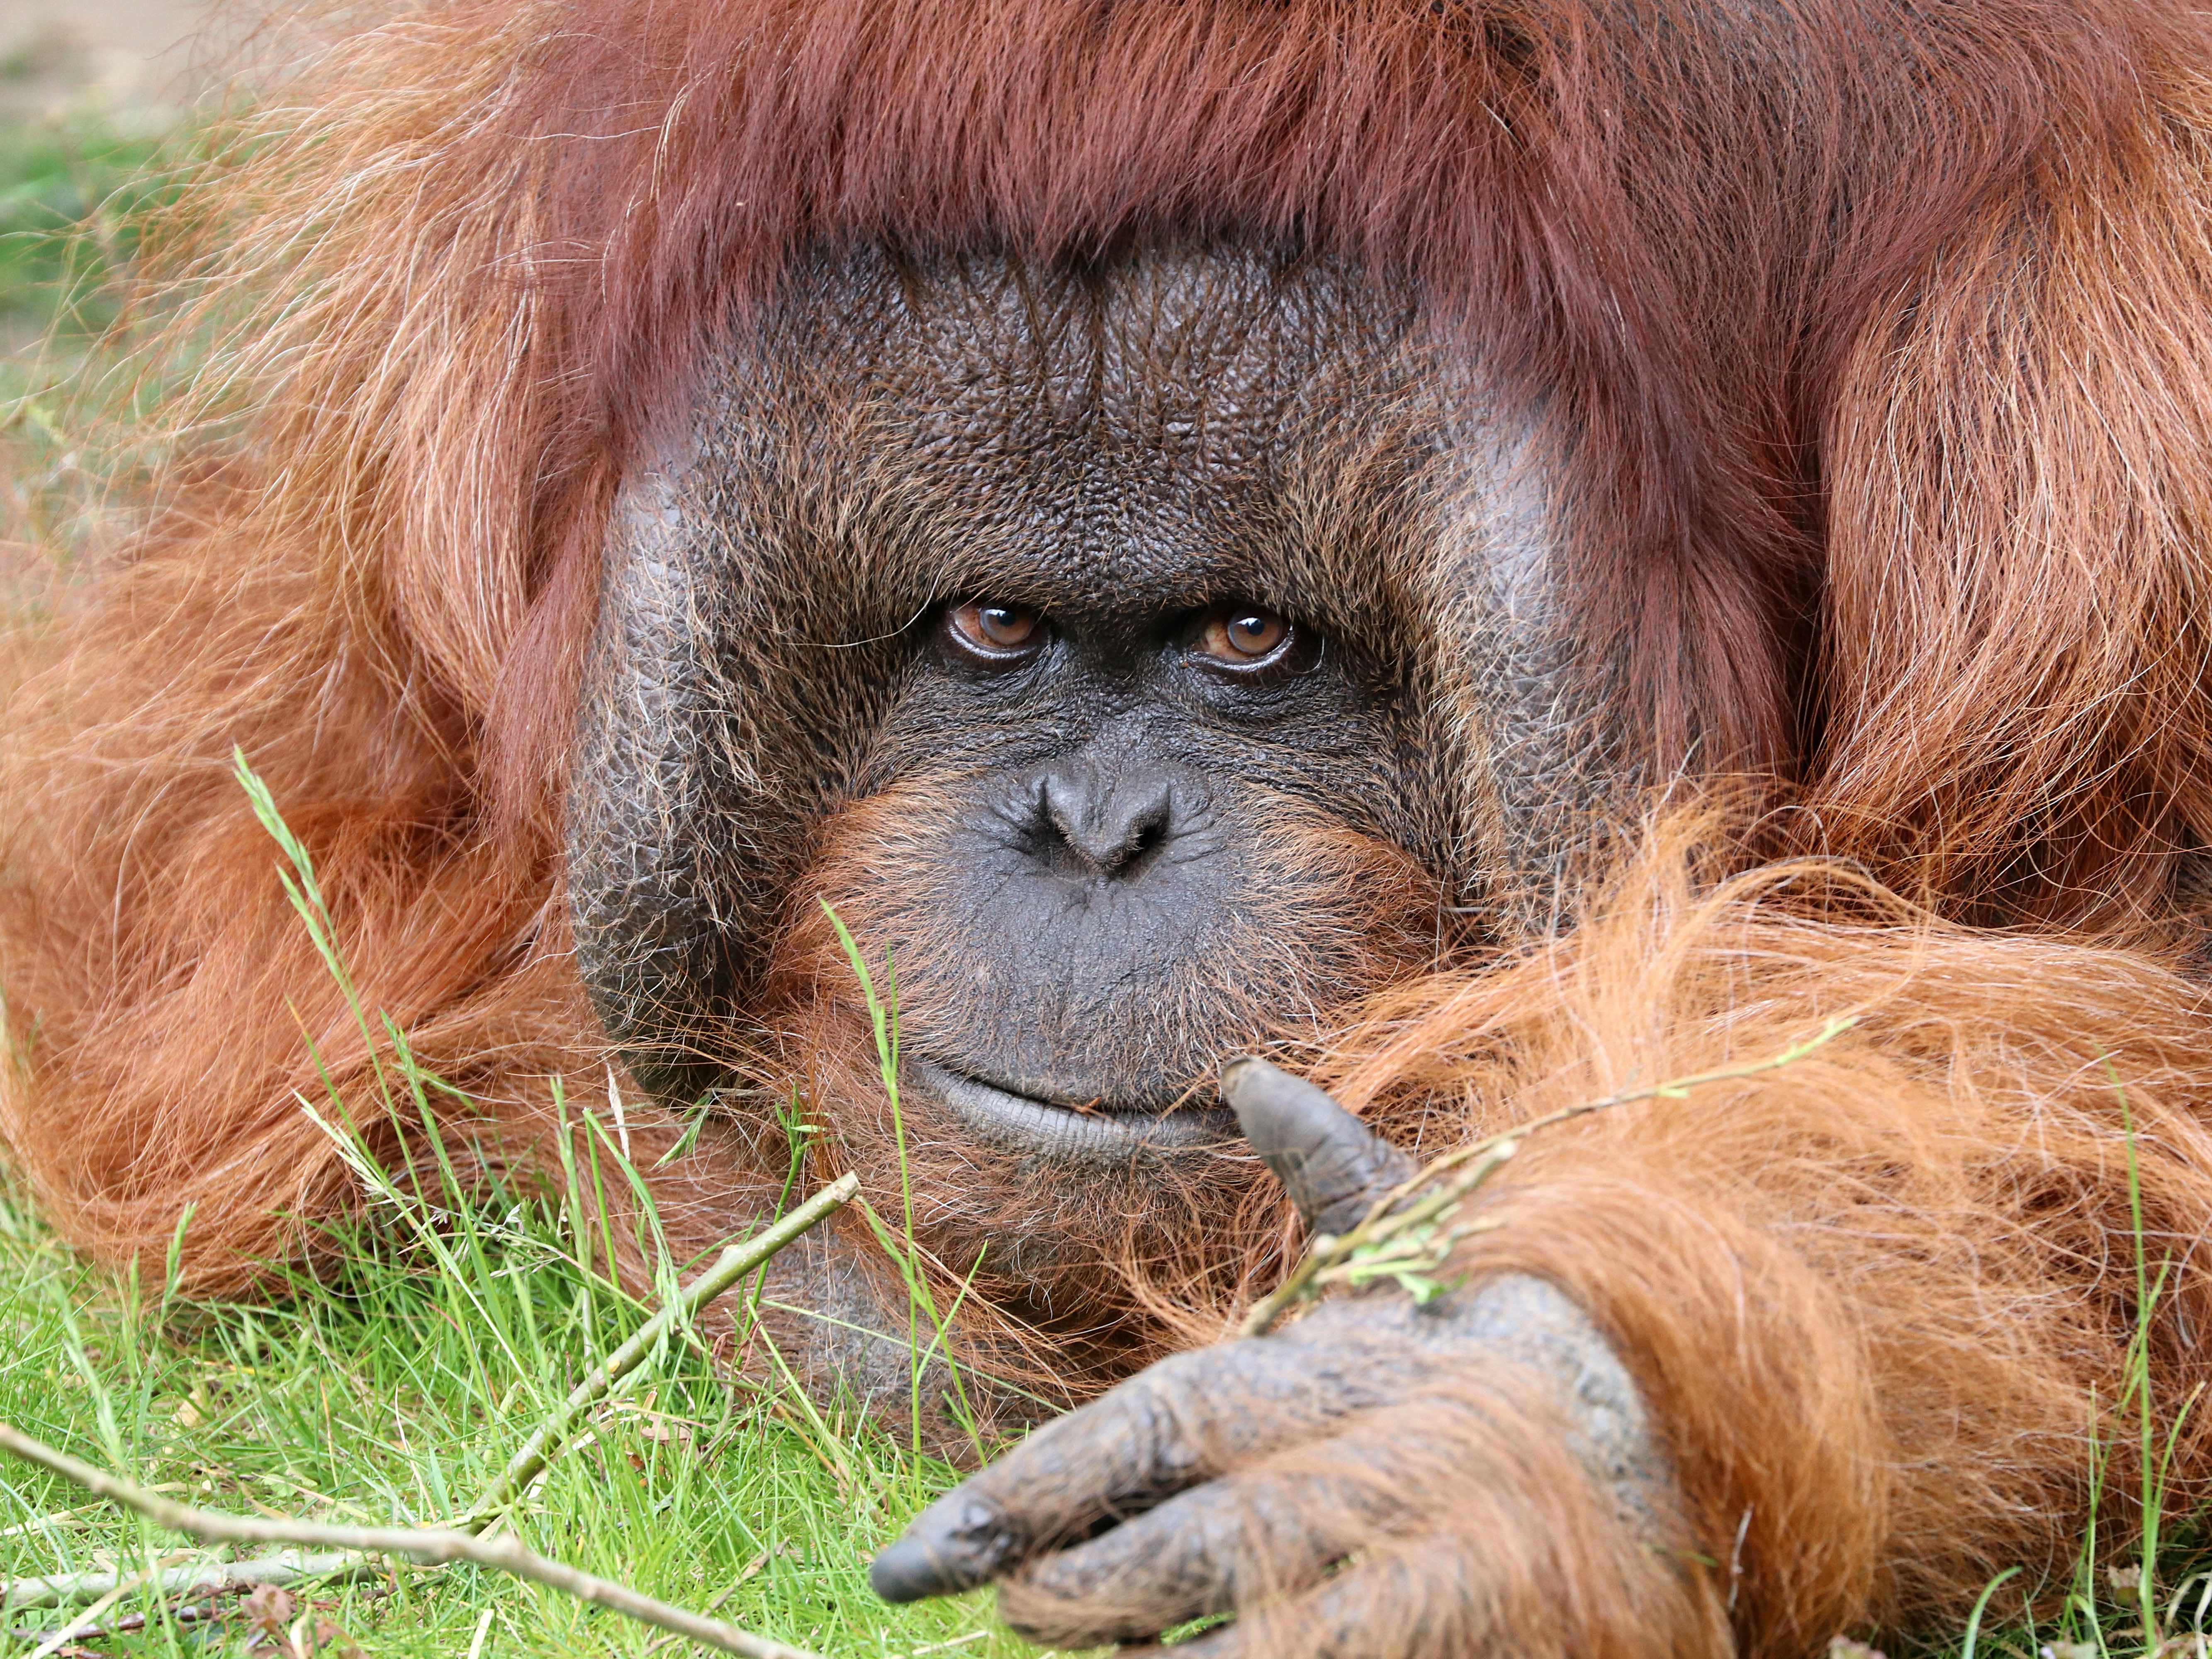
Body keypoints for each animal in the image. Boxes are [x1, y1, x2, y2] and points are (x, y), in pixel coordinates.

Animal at [10, 2, 2212, 1654]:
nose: (1095, 828)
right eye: (991, 627)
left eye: (1247, 636)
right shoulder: (447, 361)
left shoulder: (2085, 411)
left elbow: (2096, 1119)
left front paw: (1485, 1430)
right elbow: (228, 922)